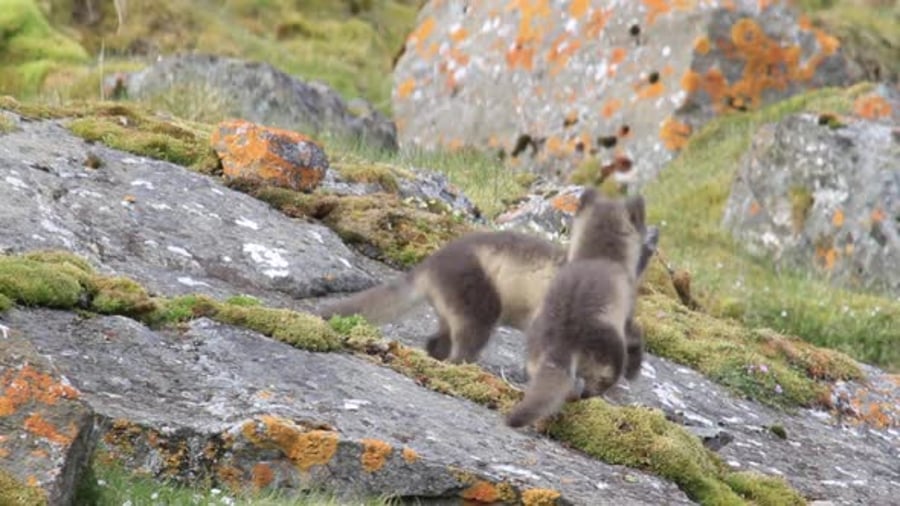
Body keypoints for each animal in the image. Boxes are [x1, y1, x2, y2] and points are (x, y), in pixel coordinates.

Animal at [505, 188, 647, 429]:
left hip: (535, 347)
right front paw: (635, 368)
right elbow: (636, 335)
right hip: (609, 352)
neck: (599, 256)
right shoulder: (628, 309)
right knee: (592, 384)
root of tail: (562, 341)